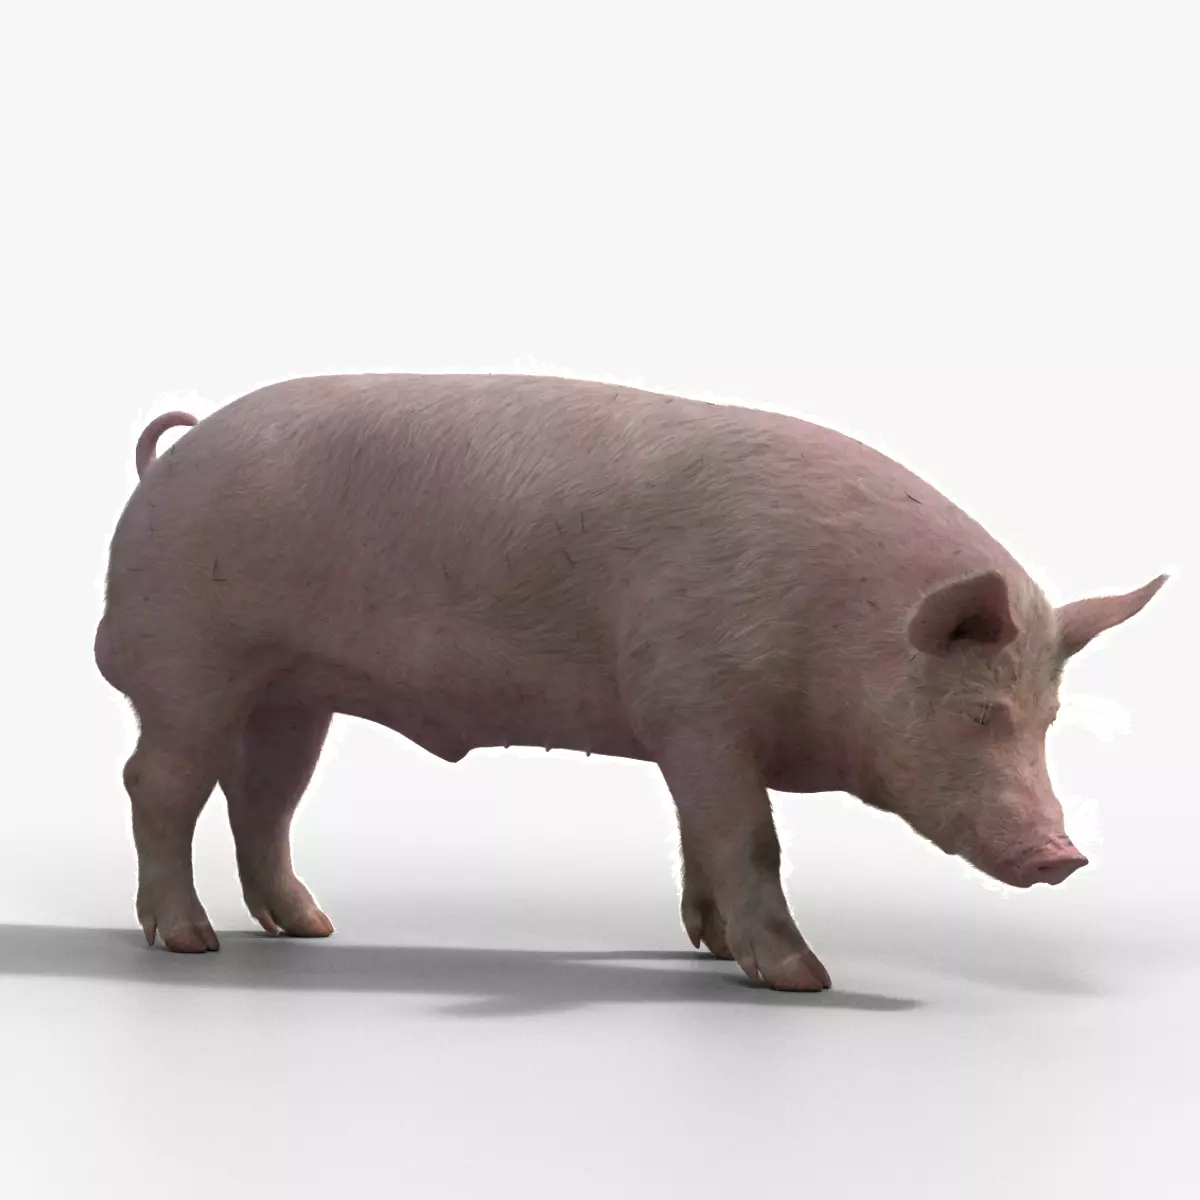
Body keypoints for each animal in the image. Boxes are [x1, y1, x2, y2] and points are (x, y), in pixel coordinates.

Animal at [93, 374, 1167, 992]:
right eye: (980, 713)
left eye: (1049, 719)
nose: (1065, 855)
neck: (837, 628)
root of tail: (170, 458)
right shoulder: (698, 705)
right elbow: (751, 838)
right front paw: (800, 979)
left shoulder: (684, 727)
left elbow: (702, 834)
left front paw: (710, 950)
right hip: (186, 660)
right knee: (160, 784)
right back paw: (190, 946)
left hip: (292, 691)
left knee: (261, 796)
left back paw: (311, 928)